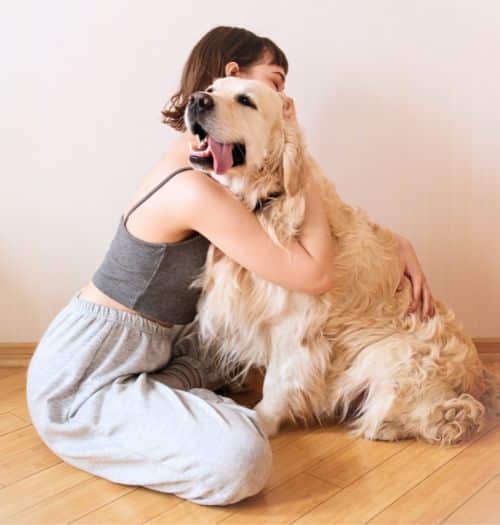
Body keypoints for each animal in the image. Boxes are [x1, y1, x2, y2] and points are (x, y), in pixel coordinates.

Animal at [185, 75, 500, 444]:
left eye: (246, 100)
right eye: (212, 88)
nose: (196, 100)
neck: (263, 201)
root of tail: (478, 377)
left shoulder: (296, 324)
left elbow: (278, 383)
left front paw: (259, 421)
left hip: (392, 354)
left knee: (448, 414)